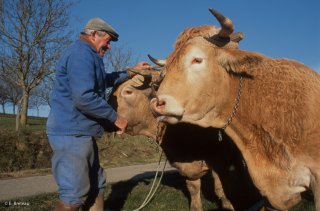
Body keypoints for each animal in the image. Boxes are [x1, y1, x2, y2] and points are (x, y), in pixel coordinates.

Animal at [110, 76, 262, 211]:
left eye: (128, 91)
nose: (114, 121)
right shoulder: (187, 167)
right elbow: (193, 188)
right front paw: (196, 207)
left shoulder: (220, 159)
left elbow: (220, 188)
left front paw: (228, 206)